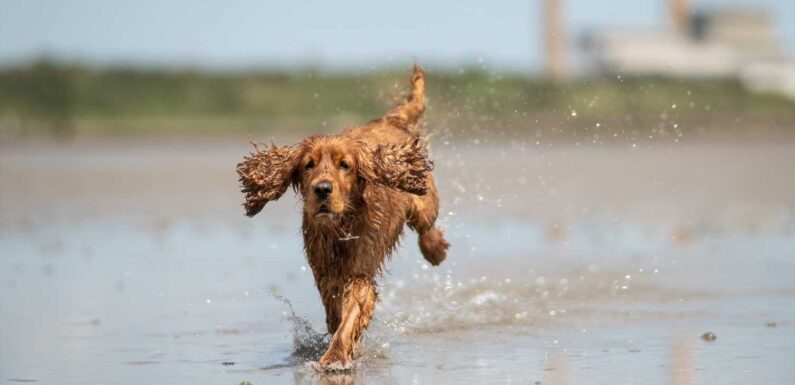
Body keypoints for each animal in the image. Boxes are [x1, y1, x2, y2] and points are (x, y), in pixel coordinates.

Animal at [236, 65, 448, 366]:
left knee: (426, 227)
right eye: (308, 165)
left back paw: (435, 251)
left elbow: (350, 316)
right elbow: (335, 314)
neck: (341, 227)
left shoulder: (360, 273)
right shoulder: (326, 274)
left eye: (344, 165)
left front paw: (335, 357)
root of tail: (390, 119)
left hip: (423, 202)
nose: (323, 189)